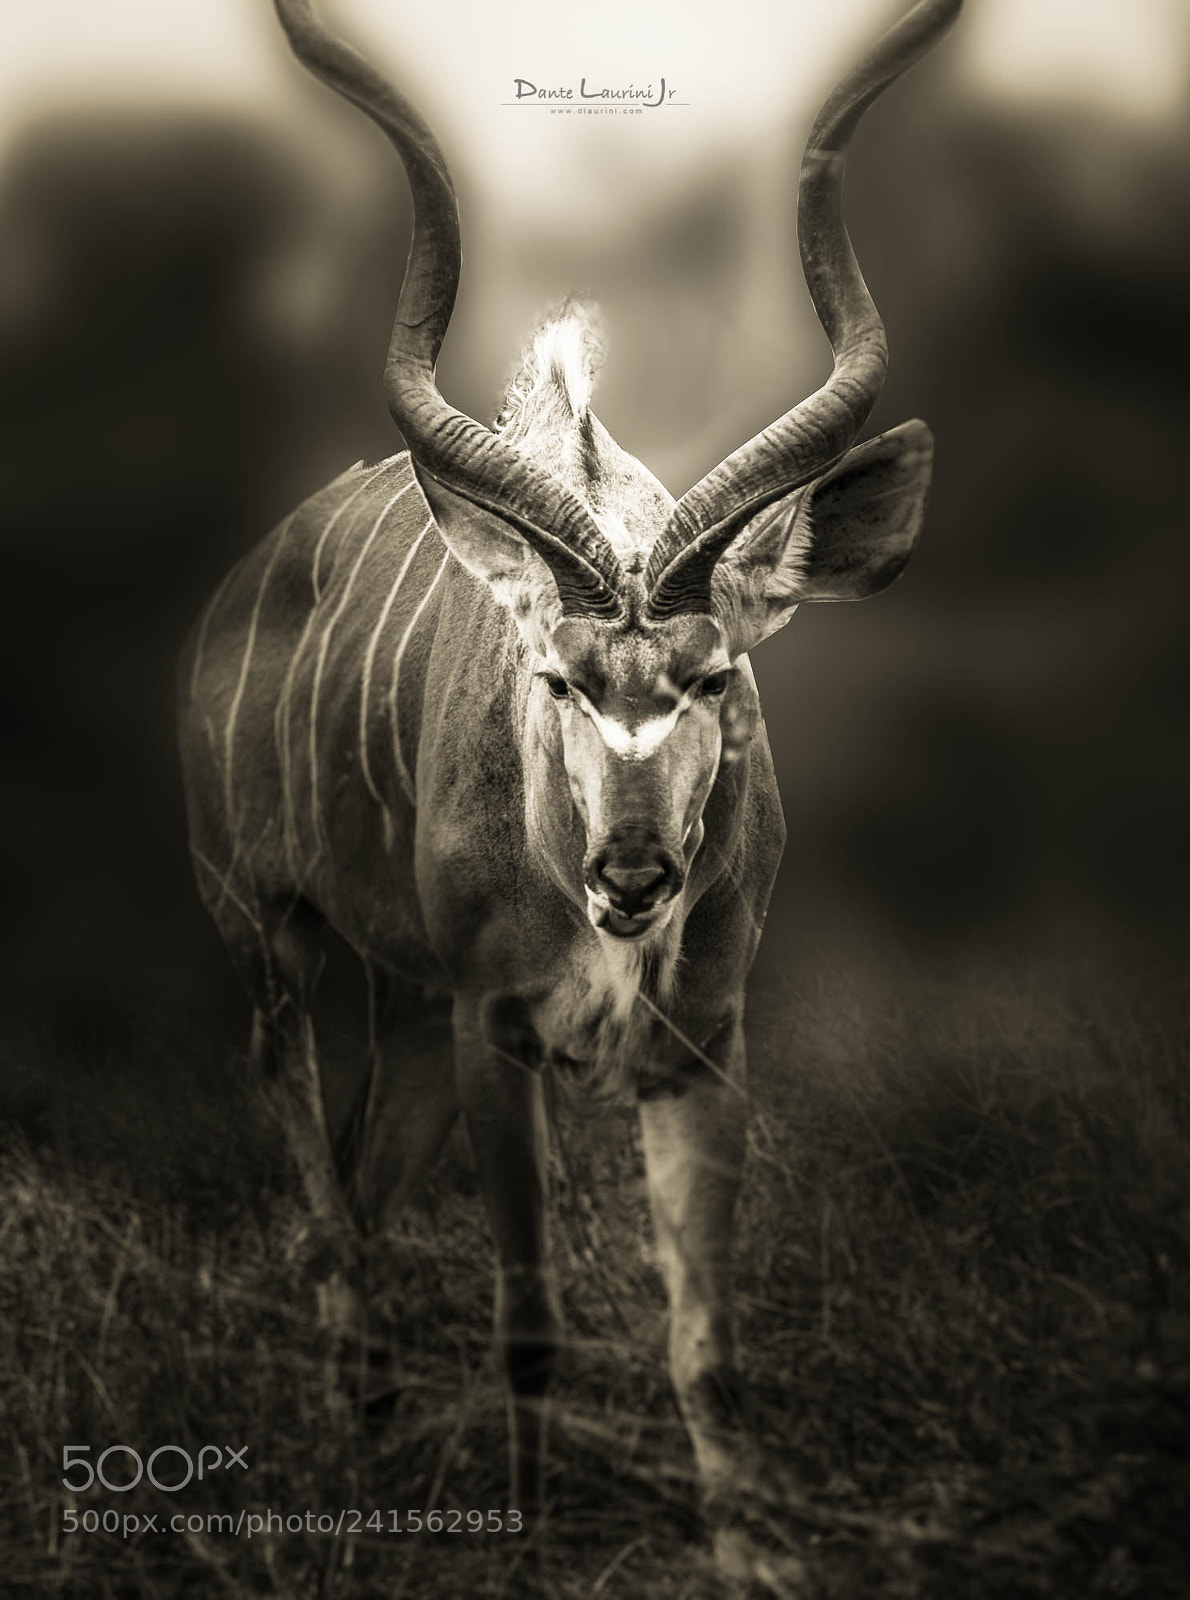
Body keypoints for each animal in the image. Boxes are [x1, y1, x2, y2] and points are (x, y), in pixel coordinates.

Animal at [180, 0, 960, 1552]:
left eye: (713, 677)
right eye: (555, 679)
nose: (633, 876)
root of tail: (236, 591)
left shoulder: (698, 1047)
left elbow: (706, 1343)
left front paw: (750, 1556)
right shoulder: (498, 1032)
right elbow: (529, 1322)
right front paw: (527, 1545)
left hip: (408, 1012)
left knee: (361, 1196)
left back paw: (372, 1436)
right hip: (274, 945)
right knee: (322, 1211)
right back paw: (344, 1461)